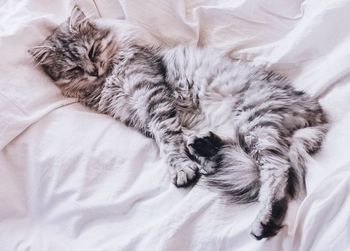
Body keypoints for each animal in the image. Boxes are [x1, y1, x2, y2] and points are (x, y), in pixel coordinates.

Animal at [29, 5, 328, 239]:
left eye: (91, 51)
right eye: (74, 68)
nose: (93, 70)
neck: (108, 80)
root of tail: (315, 111)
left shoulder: (151, 96)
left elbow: (168, 139)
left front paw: (181, 167)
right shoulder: (137, 117)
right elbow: (174, 136)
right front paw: (193, 157)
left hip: (253, 119)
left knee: (276, 169)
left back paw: (264, 220)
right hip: (250, 127)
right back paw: (207, 149)